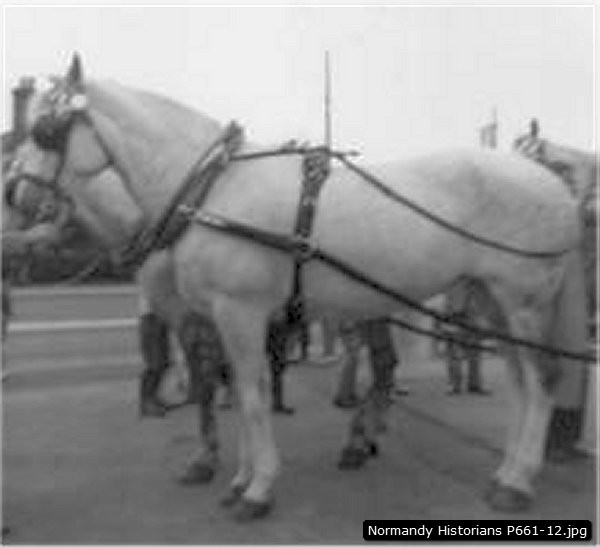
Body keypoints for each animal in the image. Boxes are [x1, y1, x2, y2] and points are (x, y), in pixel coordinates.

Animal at [6, 54, 587, 520]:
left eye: (44, 131)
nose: (13, 195)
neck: (213, 189)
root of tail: (549, 179)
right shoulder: (223, 317)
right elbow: (239, 391)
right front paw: (239, 477)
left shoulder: (239, 312)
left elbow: (252, 394)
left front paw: (256, 488)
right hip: (491, 300)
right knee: (520, 382)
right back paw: (506, 471)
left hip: (523, 300)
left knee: (541, 380)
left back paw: (518, 481)